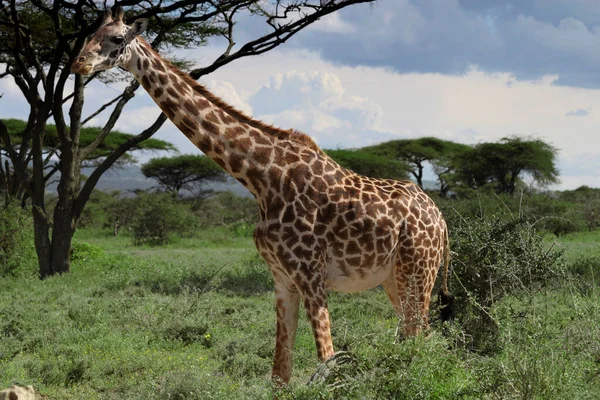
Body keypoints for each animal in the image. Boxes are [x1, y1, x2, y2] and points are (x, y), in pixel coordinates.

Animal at [71, 7, 450, 384]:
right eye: (89, 34)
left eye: (116, 38)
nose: (78, 64)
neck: (261, 179)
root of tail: (441, 219)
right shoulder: (281, 278)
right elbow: (279, 374)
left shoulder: (311, 275)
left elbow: (327, 364)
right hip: (394, 279)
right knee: (414, 336)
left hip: (418, 272)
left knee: (422, 338)